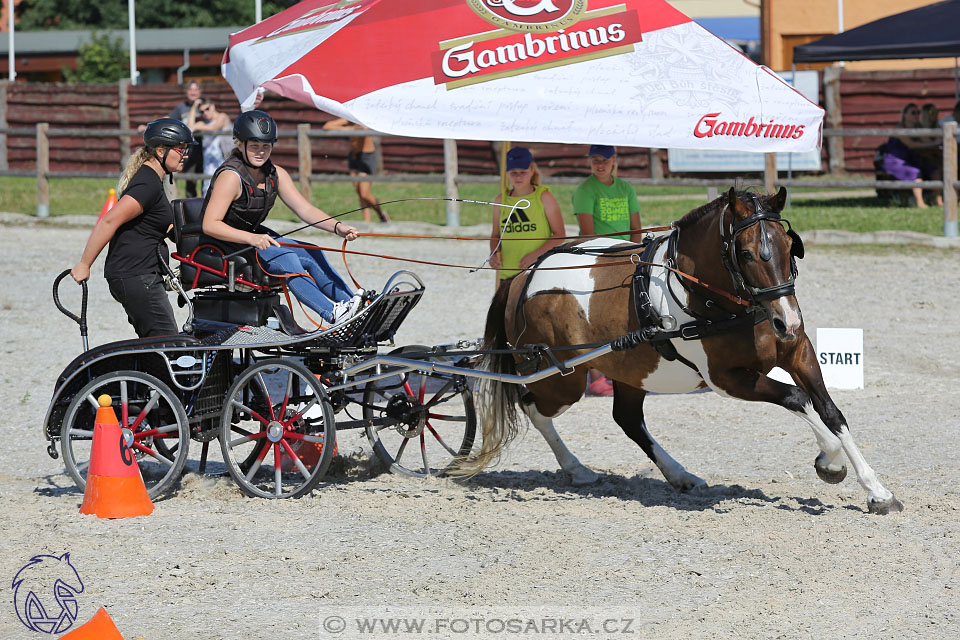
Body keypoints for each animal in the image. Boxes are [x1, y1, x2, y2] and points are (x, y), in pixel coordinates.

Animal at [468, 185, 904, 516]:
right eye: (746, 253)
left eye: (788, 246)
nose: (787, 321)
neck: (723, 302)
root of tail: (522, 276)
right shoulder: (729, 380)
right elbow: (798, 399)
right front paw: (830, 461)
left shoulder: (798, 354)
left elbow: (831, 411)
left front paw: (876, 491)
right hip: (562, 379)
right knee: (533, 406)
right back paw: (577, 470)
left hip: (630, 370)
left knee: (627, 419)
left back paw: (681, 476)